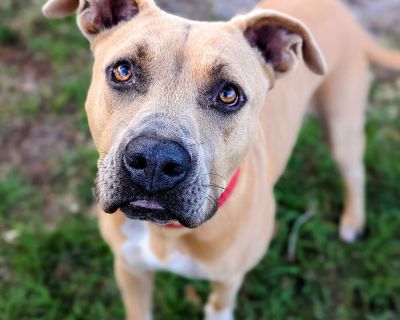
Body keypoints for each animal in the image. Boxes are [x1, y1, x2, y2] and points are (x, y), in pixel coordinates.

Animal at [41, 0, 400, 318]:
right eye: (123, 71)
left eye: (229, 94)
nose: (156, 160)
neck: (168, 233)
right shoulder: (130, 270)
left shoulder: (228, 280)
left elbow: (217, 307)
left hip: (342, 126)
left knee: (354, 172)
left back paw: (352, 221)